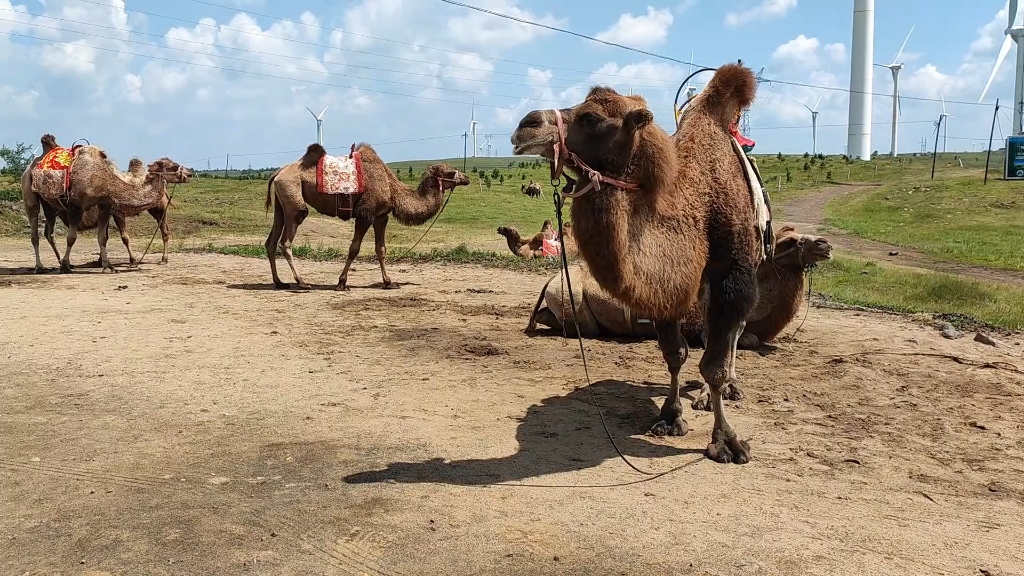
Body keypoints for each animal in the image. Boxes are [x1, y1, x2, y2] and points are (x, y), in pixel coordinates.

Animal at [264, 141, 471, 289]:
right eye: (451, 172)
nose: (467, 178)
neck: (392, 188)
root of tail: (278, 172)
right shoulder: (365, 214)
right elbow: (354, 249)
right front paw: (341, 282)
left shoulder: (381, 217)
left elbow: (381, 249)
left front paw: (389, 282)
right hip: (293, 200)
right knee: (287, 240)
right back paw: (301, 282)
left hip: (281, 205)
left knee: (271, 241)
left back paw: (279, 282)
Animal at [512, 62, 770, 463]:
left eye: (590, 117)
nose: (527, 124)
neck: (698, 205)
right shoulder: (671, 284)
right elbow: (675, 353)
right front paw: (669, 416)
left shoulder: (733, 276)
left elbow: (712, 363)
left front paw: (726, 441)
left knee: (733, 333)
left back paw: (728, 387)